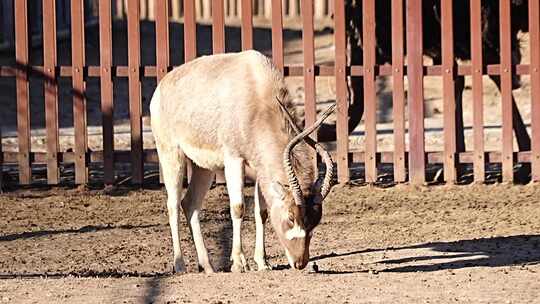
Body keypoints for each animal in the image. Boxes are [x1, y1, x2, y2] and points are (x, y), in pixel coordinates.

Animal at [148, 50, 334, 274]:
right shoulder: (233, 158)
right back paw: (180, 265)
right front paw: (239, 262)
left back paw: (208, 266)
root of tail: (161, 87)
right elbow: (238, 207)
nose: (300, 262)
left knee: (190, 203)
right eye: (291, 217)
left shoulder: (259, 168)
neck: (257, 93)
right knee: (173, 205)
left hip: (203, 168)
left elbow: (261, 212)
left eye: (316, 221)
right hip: (170, 153)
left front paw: (263, 263)